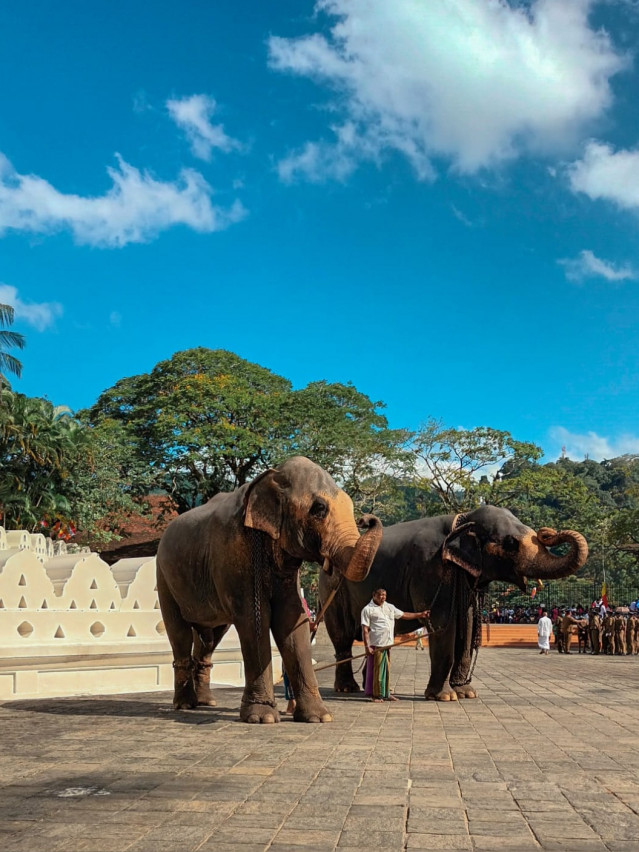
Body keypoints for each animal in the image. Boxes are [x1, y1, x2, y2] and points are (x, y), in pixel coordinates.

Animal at [156, 456, 382, 723]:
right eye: (319, 509)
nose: (367, 519)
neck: (270, 476)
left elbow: (292, 619)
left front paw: (319, 717)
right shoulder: (233, 551)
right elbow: (255, 618)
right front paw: (262, 718)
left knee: (210, 638)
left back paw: (206, 702)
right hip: (164, 577)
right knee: (179, 632)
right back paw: (185, 705)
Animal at [320, 505, 588, 701]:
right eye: (511, 543)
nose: (547, 532)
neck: (462, 520)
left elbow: (466, 627)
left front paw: (467, 693)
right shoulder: (429, 569)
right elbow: (443, 627)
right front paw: (444, 697)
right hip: (332, 590)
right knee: (342, 637)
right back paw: (347, 689)